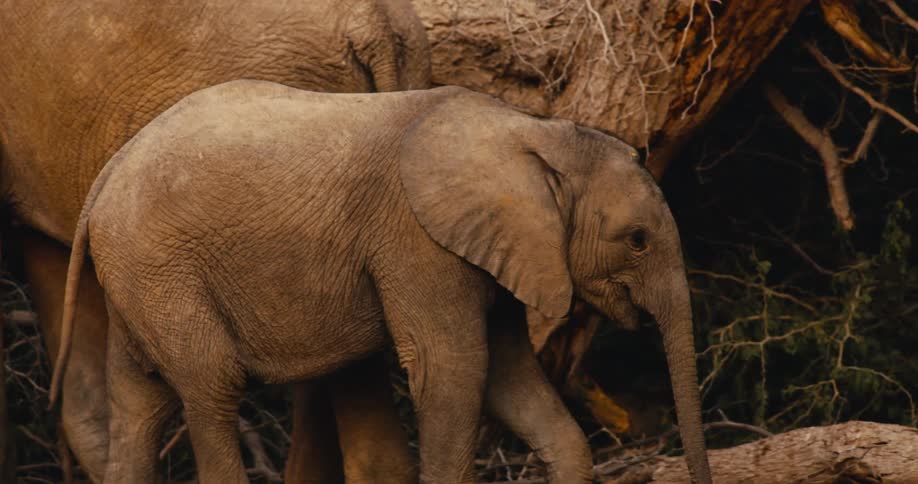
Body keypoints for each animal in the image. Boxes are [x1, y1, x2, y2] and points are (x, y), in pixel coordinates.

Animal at [52, 80, 713, 483]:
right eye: (637, 239)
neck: (535, 130)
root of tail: (107, 174)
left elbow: (510, 376)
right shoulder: (417, 240)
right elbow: (454, 369)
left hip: (138, 277)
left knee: (136, 406)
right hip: (161, 268)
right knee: (212, 388)